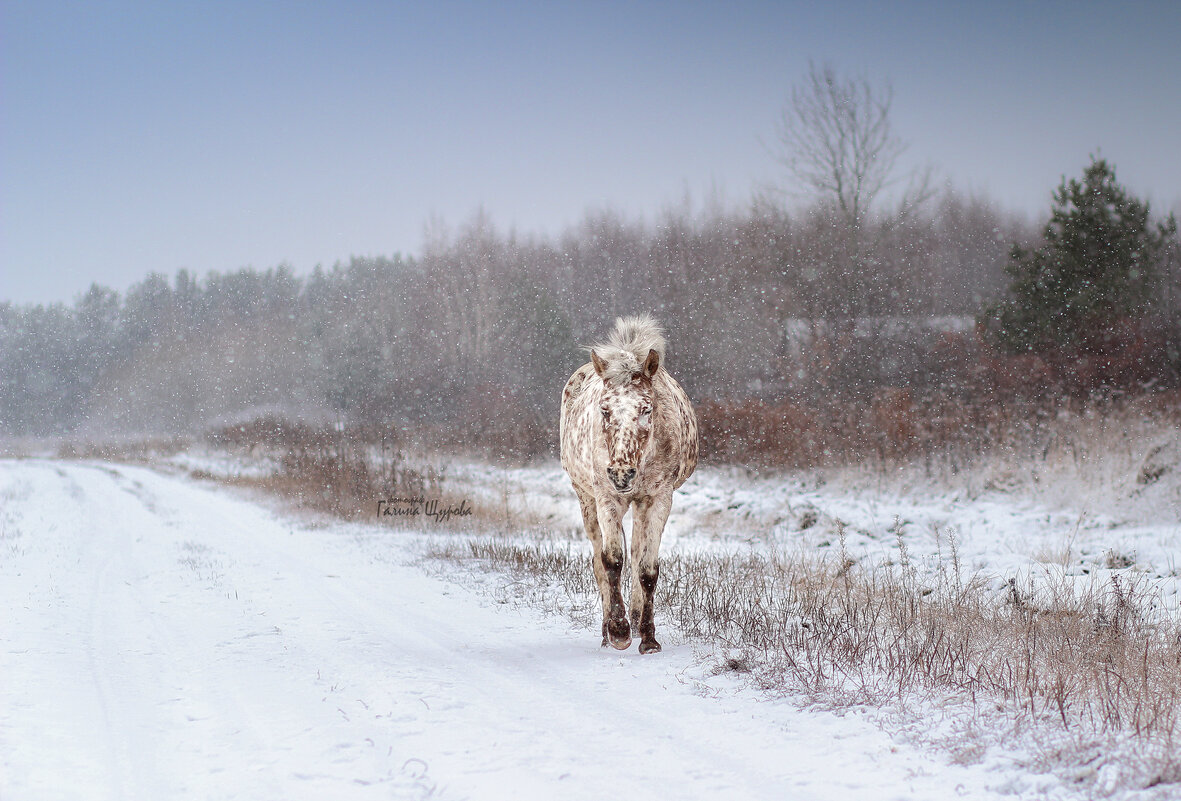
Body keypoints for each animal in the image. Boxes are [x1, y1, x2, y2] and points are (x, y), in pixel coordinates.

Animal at [557, 314, 694, 652]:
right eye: (604, 409)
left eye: (646, 408)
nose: (622, 474)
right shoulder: (606, 497)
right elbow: (612, 561)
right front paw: (619, 631)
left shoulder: (659, 498)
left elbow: (646, 567)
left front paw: (648, 637)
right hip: (586, 499)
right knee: (598, 561)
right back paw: (607, 632)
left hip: (638, 504)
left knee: (636, 553)